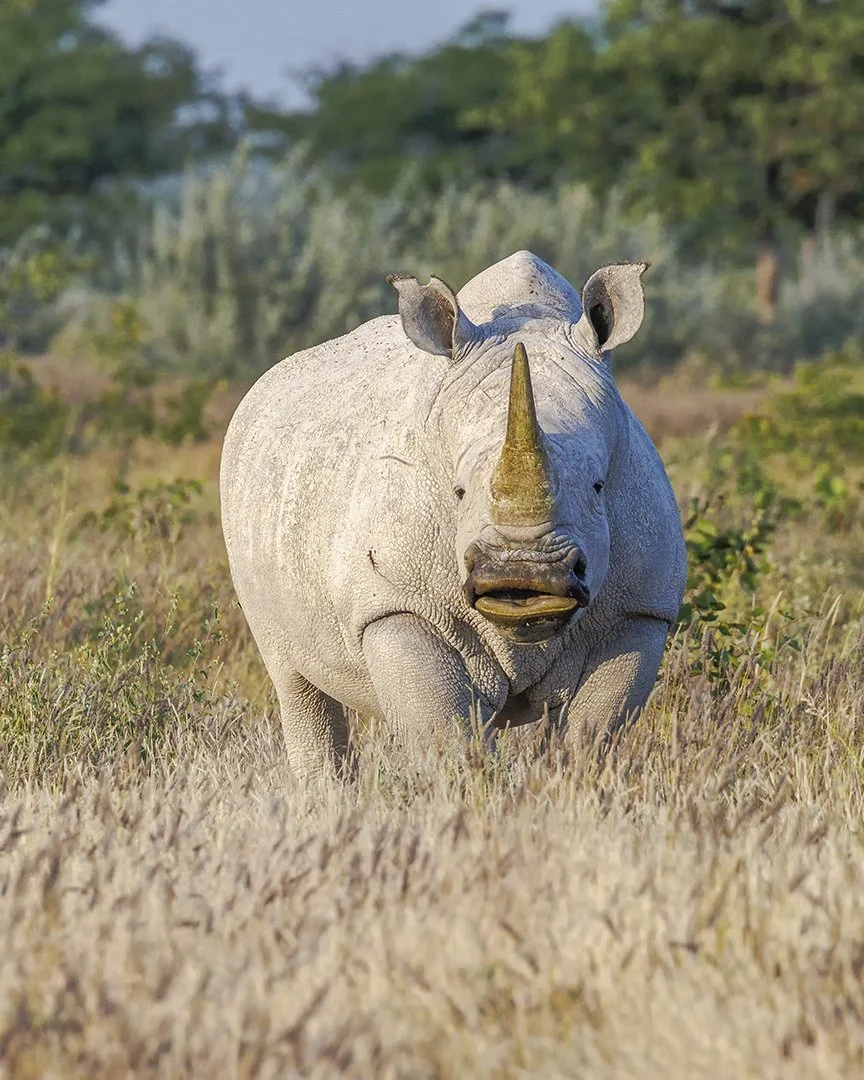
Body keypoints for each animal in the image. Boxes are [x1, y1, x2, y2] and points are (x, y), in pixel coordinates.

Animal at [220, 251, 686, 779]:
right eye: (458, 492)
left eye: (599, 486)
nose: (523, 575)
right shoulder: (396, 604)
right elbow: (443, 735)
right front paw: (466, 792)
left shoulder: (638, 611)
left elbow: (591, 735)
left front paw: (566, 787)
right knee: (293, 677)